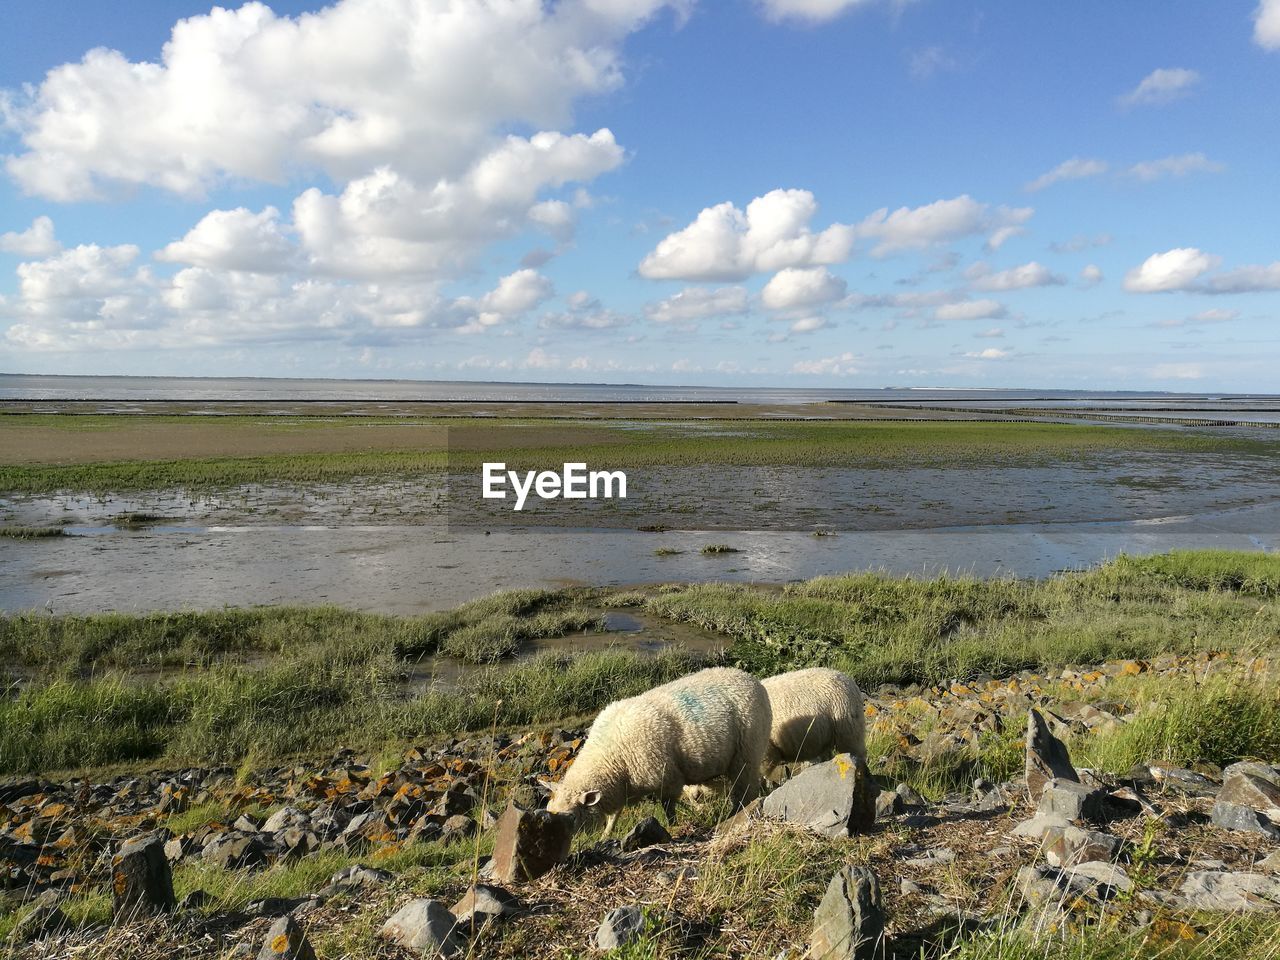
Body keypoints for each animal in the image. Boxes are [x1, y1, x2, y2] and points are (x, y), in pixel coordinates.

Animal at [542, 670, 762, 834]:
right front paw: (606, 834)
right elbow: (615, 815)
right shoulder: (621, 787)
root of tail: (746, 676)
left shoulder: (667, 778)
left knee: (745, 788)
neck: (609, 755)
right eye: (549, 810)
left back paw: (738, 812)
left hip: (747, 753)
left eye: (571, 816)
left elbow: (668, 807)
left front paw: (672, 826)